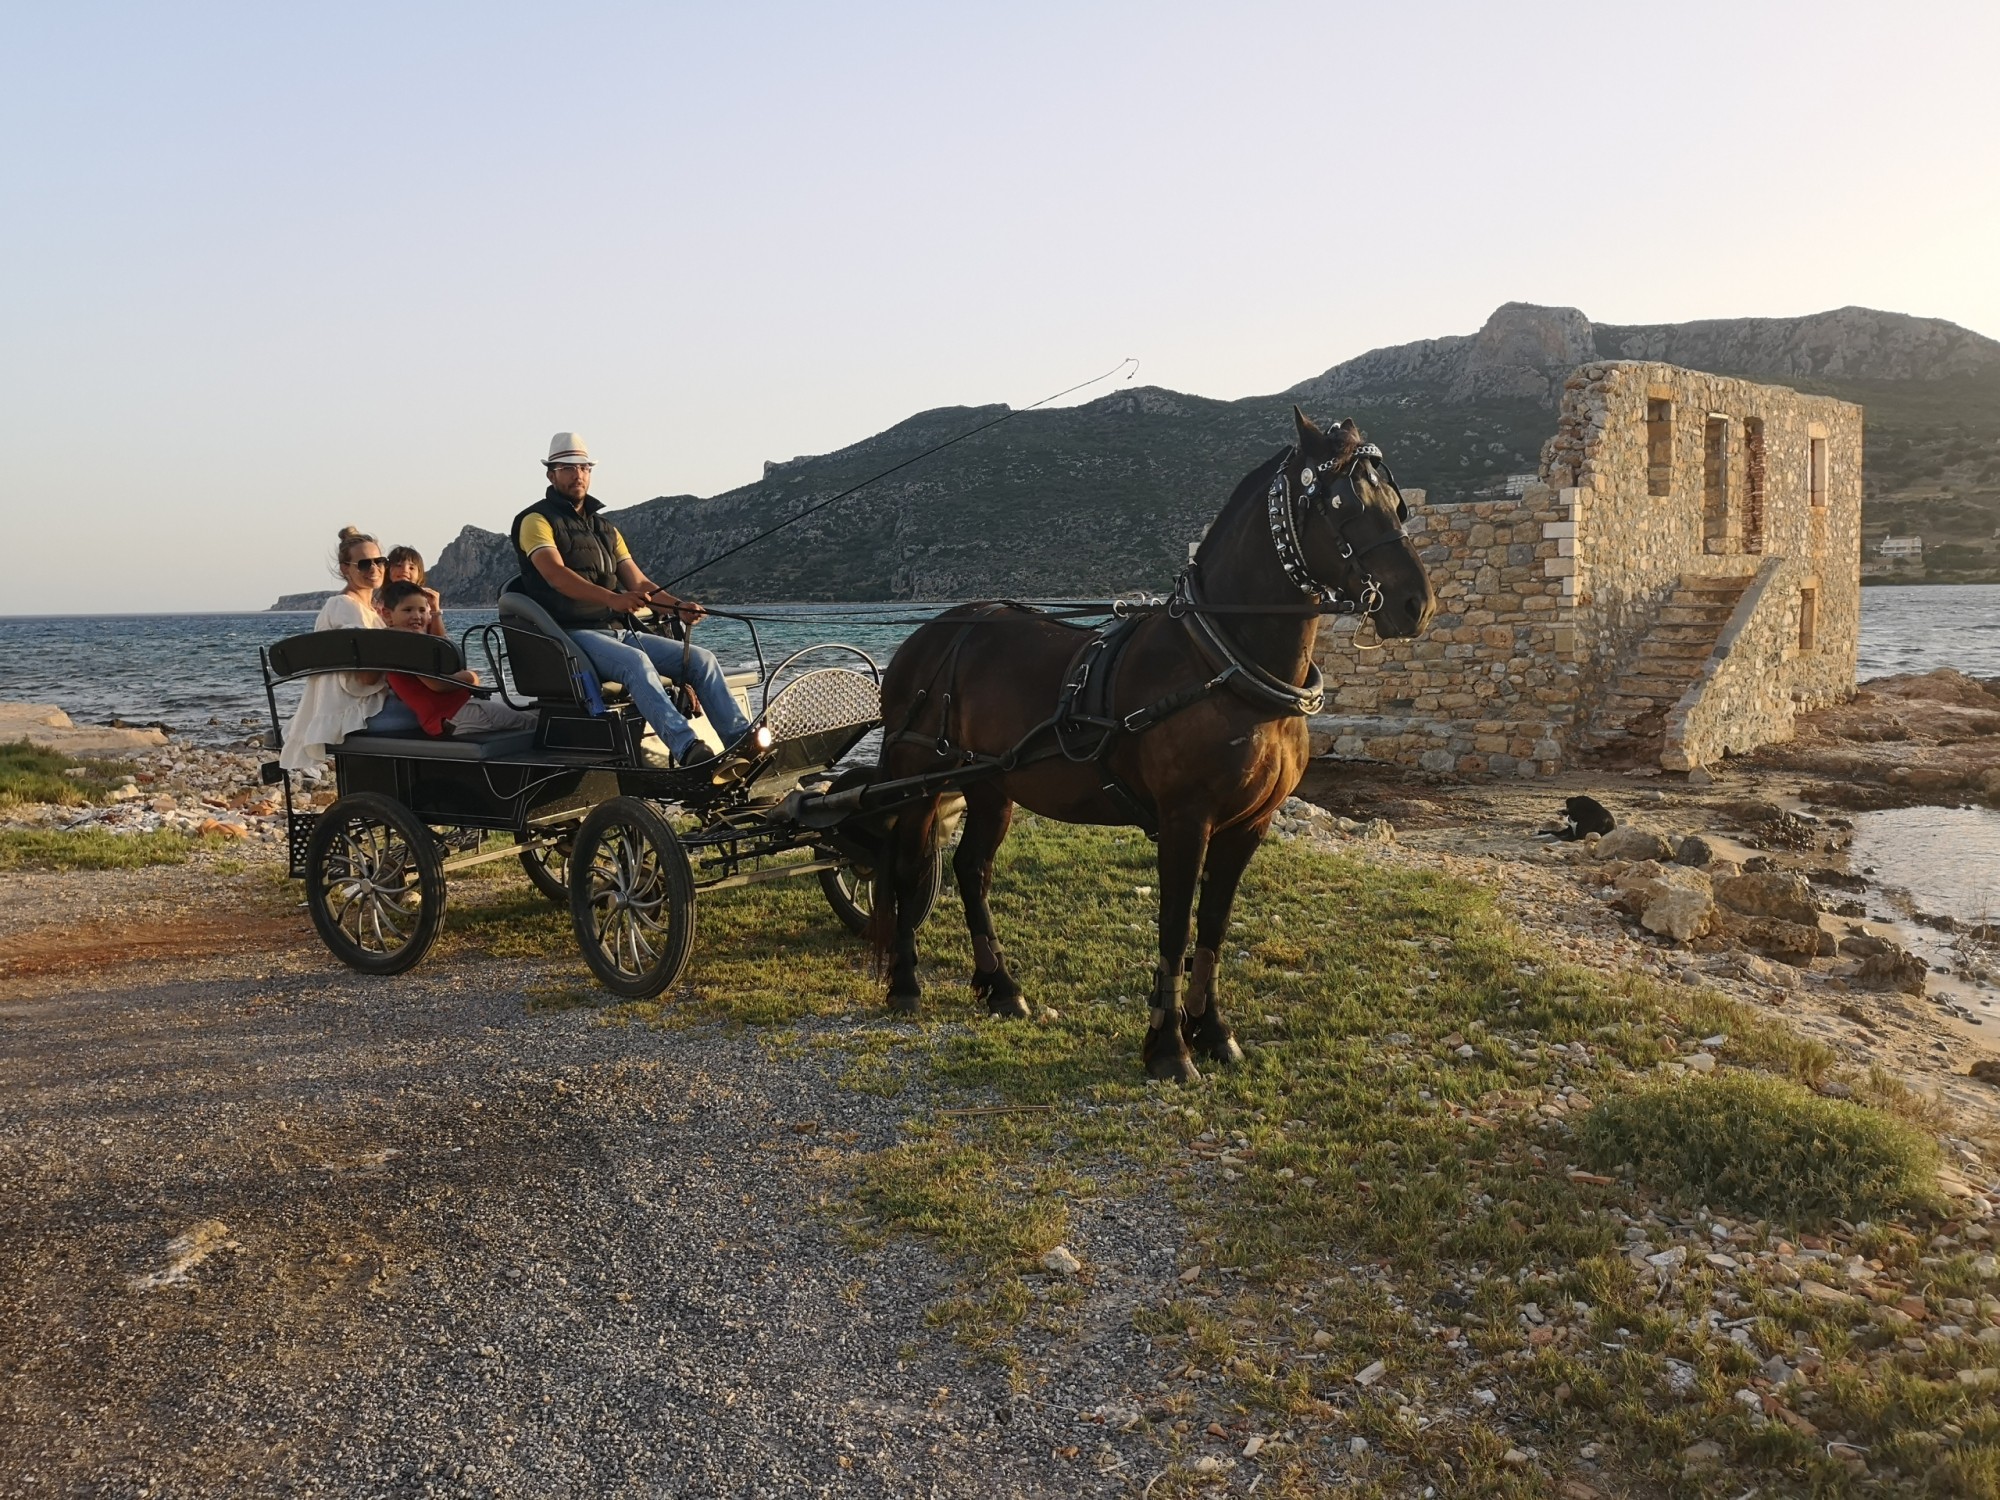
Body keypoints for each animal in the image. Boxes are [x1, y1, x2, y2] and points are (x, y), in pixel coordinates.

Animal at [868, 412, 1432, 1080]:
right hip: (919, 776)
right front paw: (1168, 1047)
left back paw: (1002, 987)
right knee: (908, 867)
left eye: (1397, 503)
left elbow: (1213, 927)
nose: (1415, 604)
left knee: (971, 870)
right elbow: (1174, 926)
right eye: (1341, 503)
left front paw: (1213, 1032)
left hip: (991, 785)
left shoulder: (1250, 824)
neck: (1220, 663)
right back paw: (905, 982)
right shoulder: (1186, 821)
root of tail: (931, 634)